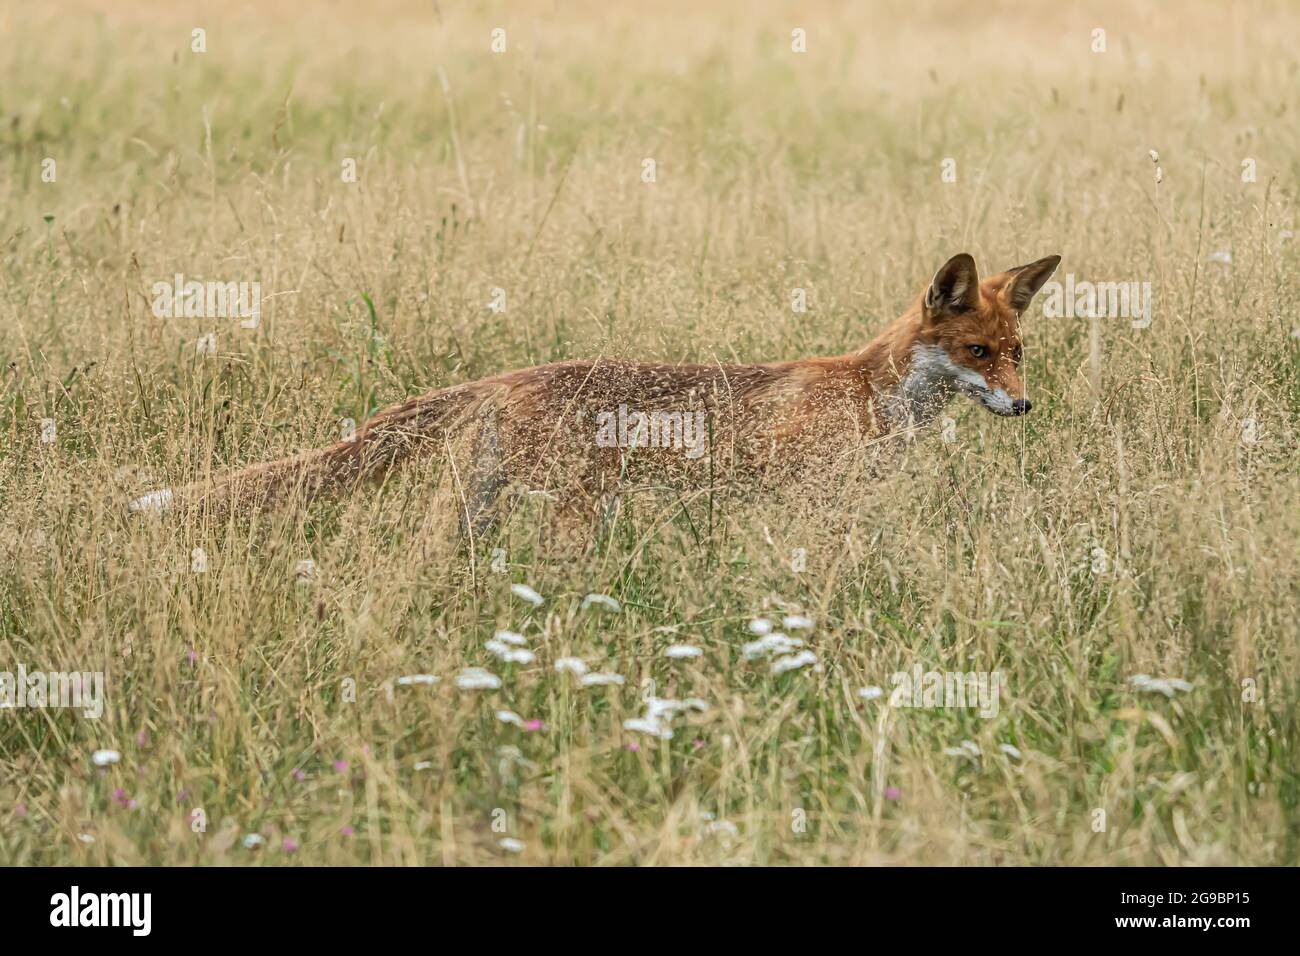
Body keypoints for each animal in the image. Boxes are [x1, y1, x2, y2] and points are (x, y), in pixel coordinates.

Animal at [129, 254, 1055, 530]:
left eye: (1017, 356)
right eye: (977, 352)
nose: (1023, 406)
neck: (872, 390)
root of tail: (504, 375)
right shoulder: (802, 495)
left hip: (476, 504)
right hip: (573, 507)